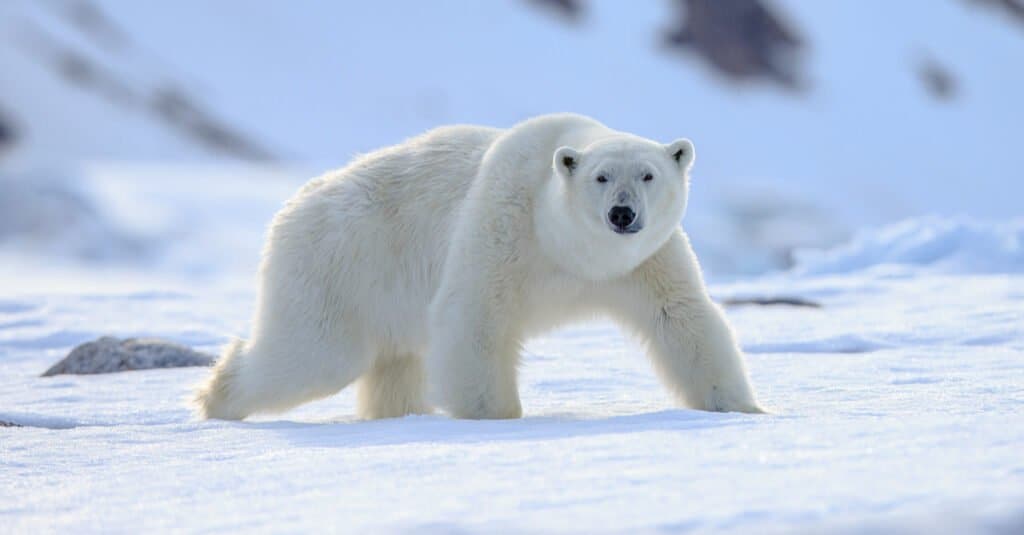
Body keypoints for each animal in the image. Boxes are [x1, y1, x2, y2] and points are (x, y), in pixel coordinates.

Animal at [194, 113, 764, 420]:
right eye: (601, 177)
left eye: (648, 174)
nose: (622, 214)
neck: (569, 249)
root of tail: (293, 206)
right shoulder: (505, 223)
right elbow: (475, 315)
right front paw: (495, 417)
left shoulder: (645, 261)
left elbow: (682, 318)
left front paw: (743, 408)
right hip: (338, 266)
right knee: (312, 354)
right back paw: (216, 398)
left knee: (393, 364)